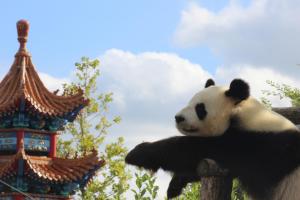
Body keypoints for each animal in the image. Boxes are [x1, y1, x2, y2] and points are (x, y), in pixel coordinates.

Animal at [125, 78, 300, 200]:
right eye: (190, 102)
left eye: (200, 108)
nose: (178, 118)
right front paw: (175, 186)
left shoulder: (261, 146)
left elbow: (195, 149)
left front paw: (137, 153)